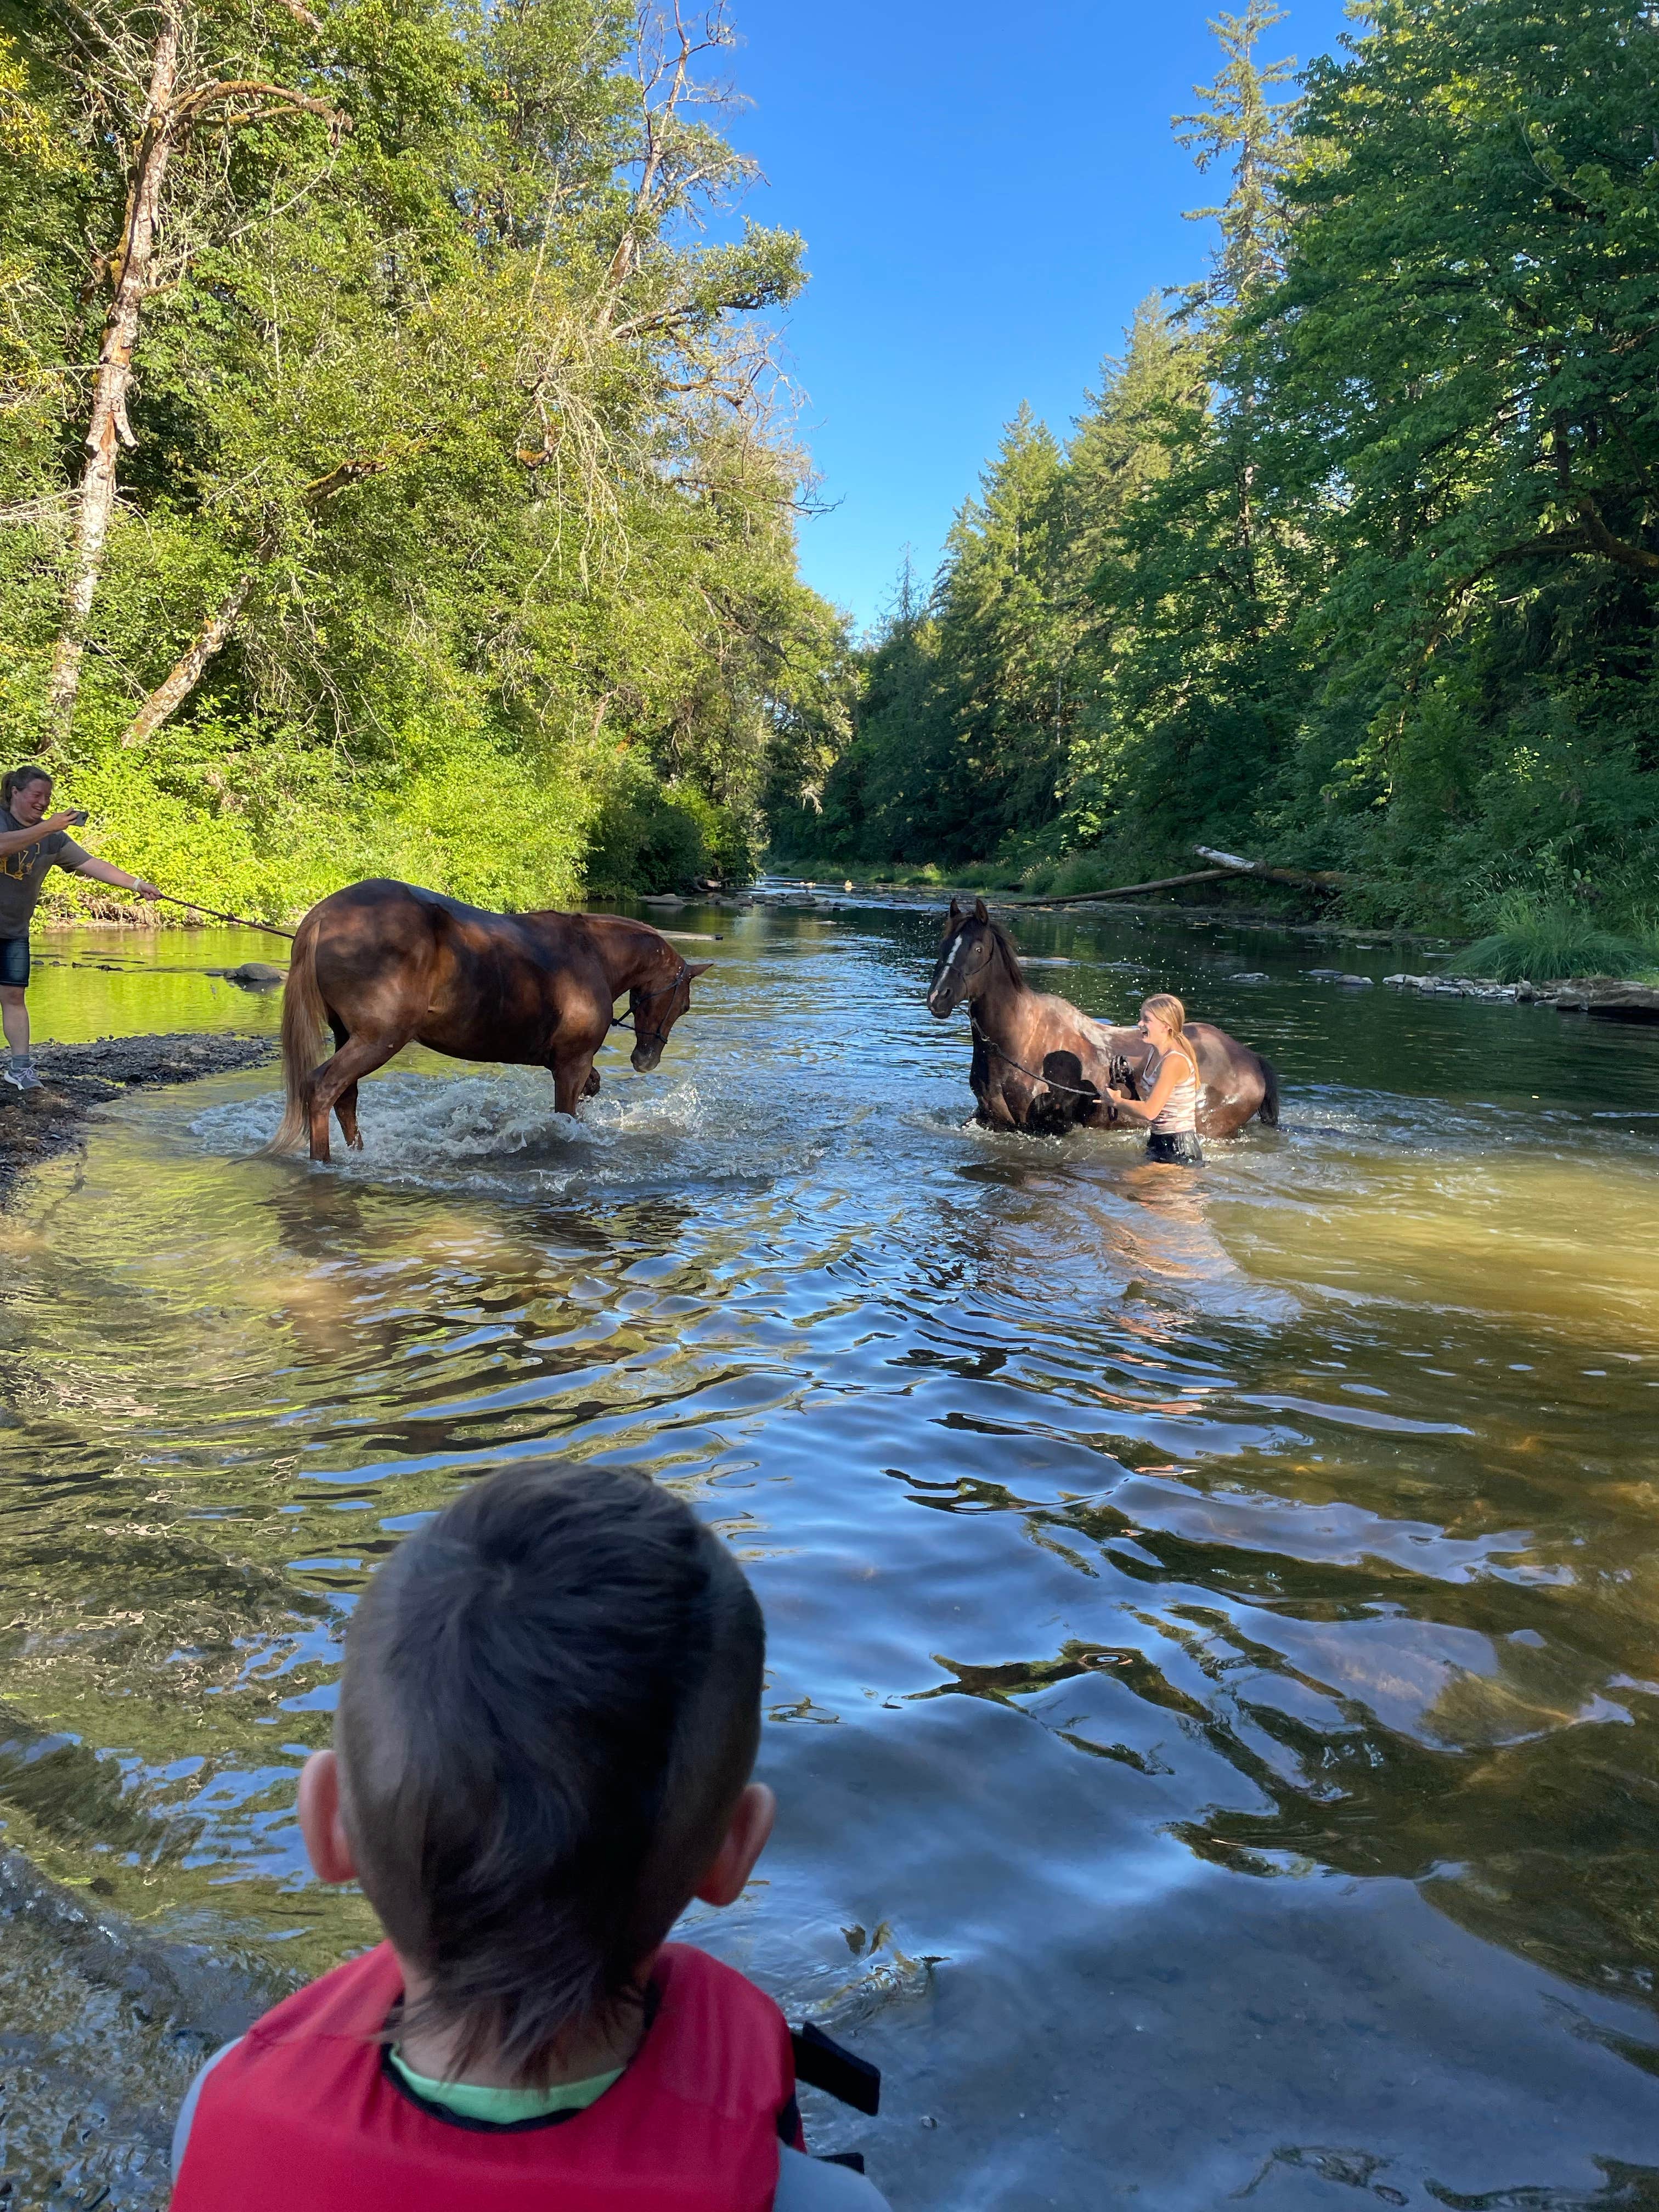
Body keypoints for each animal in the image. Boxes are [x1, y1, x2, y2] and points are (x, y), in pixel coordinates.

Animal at [266, 879, 710, 1163]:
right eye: (684, 1005)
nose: (646, 1059)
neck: (592, 954)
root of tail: (323, 915)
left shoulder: (569, 1062)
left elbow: (593, 1087)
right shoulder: (572, 1064)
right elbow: (567, 1116)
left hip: (350, 1037)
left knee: (346, 1098)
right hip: (377, 1040)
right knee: (323, 1089)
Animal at [924, 896, 1278, 1139]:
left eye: (978, 949)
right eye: (944, 944)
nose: (938, 998)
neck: (1018, 1041)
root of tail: (1251, 1059)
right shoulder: (989, 1119)